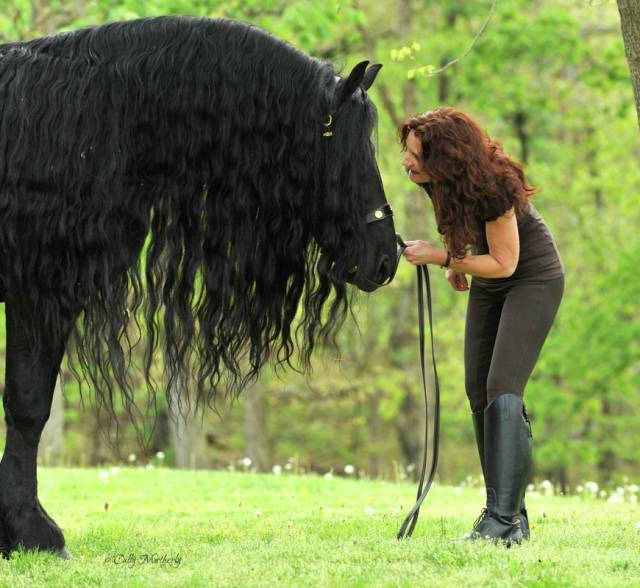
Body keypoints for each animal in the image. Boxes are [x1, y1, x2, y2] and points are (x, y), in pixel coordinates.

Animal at [0, 14, 398, 556]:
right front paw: (31, 530)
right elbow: (28, 406)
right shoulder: (38, 292)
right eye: (347, 145)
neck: (85, 123)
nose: (388, 256)